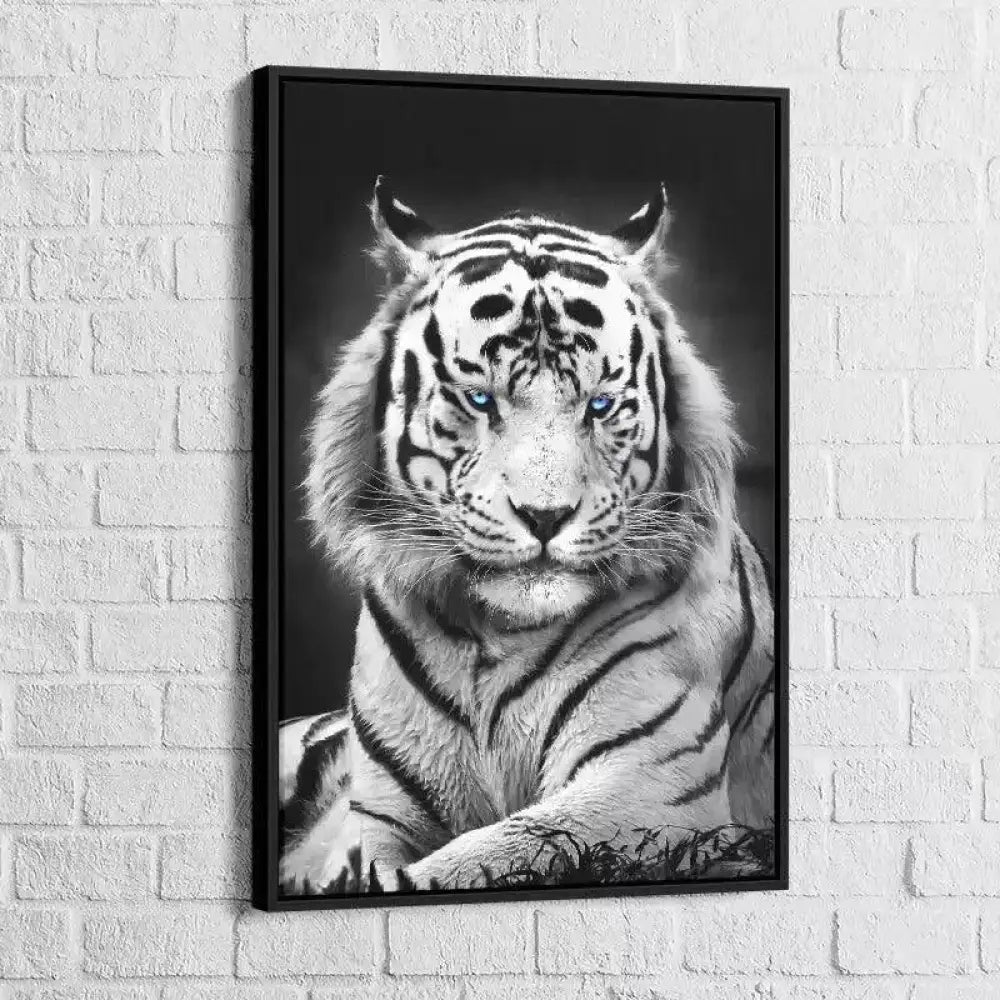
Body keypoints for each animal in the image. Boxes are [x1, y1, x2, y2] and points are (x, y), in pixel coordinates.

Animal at [278, 176, 776, 894]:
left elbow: (491, 853)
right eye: (480, 399)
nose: (545, 516)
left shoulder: (649, 785)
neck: (494, 640)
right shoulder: (381, 813)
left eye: (600, 404)